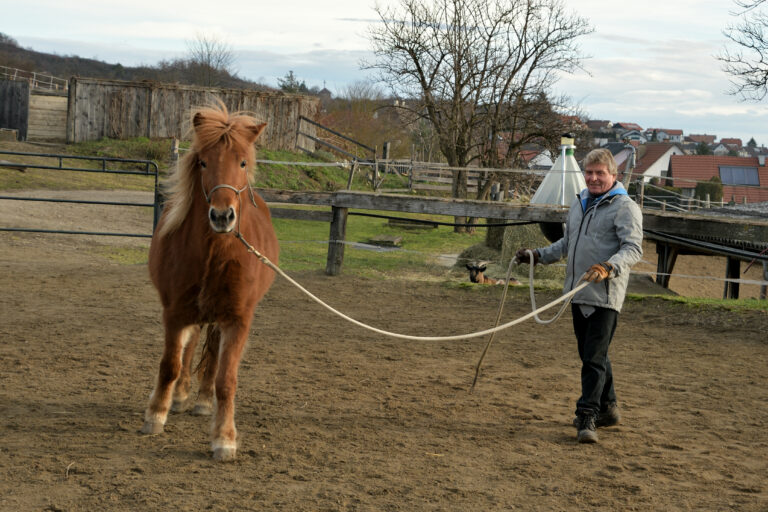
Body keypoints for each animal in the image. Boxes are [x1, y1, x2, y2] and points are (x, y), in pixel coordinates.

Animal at [141, 103, 280, 460]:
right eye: (203, 161)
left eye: (242, 162)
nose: (221, 216)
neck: (215, 253)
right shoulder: (175, 312)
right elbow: (170, 365)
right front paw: (156, 414)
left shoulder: (238, 319)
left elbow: (225, 380)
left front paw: (224, 438)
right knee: (189, 350)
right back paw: (180, 397)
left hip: (218, 316)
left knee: (213, 355)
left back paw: (203, 401)